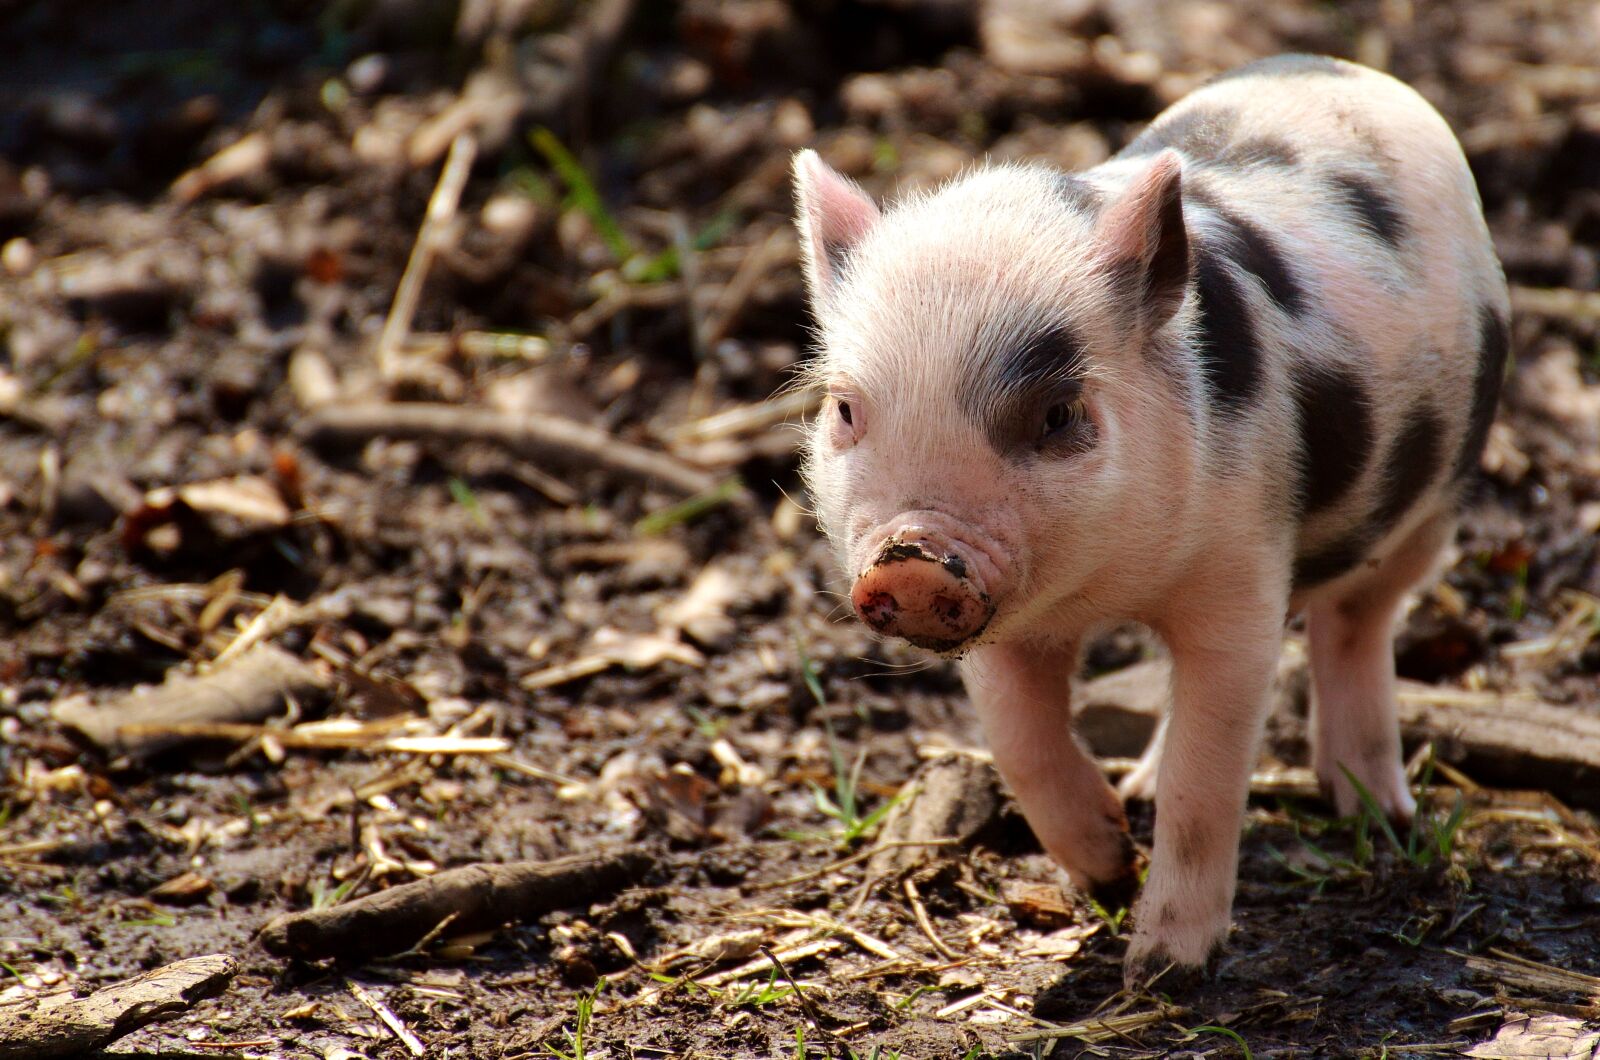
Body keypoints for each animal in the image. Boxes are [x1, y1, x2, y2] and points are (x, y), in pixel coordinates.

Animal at [792, 53, 1508, 980]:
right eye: (845, 409)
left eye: (1059, 414)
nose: (911, 557)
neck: (1109, 589)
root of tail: (1351, 72)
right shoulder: (1006, 629)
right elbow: (1021, 742)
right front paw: (1105, 867)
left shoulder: (1242, 573)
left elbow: (1207, 778)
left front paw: (1165, 968)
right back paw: (1142, 789)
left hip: (1436, 496)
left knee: (1357, 621)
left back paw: (1373, 814)